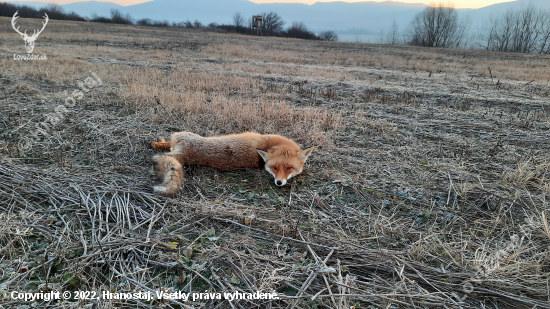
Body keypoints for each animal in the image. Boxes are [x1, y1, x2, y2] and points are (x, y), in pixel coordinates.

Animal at [151, 132, 314, 194]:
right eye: (274, 168)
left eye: (289, 168)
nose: (279, 182)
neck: (274, 144)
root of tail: (185, 156)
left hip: (178, 138)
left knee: (165, 146)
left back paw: (157, 142)